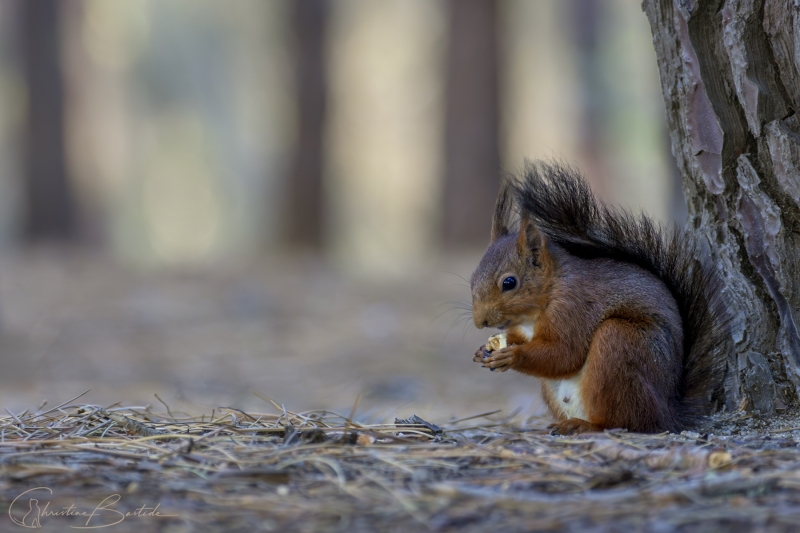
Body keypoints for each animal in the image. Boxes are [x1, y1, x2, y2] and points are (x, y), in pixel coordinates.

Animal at [472, 162, 728, 432]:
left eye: (509, 283)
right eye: (473, 277)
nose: (480, 322)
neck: (549, 292)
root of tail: (668, 414)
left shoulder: (573, 309)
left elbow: (564, 354)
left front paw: (513, 356)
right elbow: (524, 340)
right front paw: (484, 350)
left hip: (619, 343)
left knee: (624, 421)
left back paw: (586, 426)